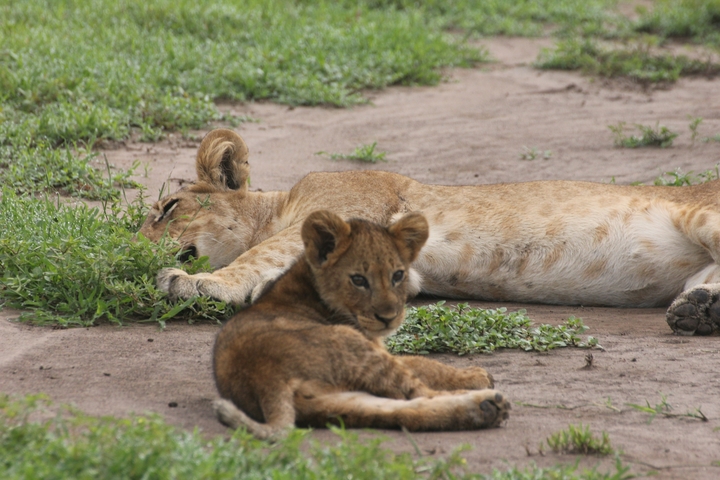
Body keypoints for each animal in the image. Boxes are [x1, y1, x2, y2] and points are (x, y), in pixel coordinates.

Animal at [139, 128, 720, 336]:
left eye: (167, 207)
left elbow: (257, 254)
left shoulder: (347, 210)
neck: (277, 205)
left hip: (704, 217)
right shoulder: (400, 275)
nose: (130, 250)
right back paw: (700, 312)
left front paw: (199, 284)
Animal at [211, 209, 509, 439]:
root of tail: (263, 377)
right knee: (418, 392)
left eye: (398, 275)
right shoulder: (369, 343)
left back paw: (486, 409)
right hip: (350, 346)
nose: (389, 317)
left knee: (406, 410)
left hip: (332, 402)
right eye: (358, 280)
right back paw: (486, 398)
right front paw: (475, 375)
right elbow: (422, 364)